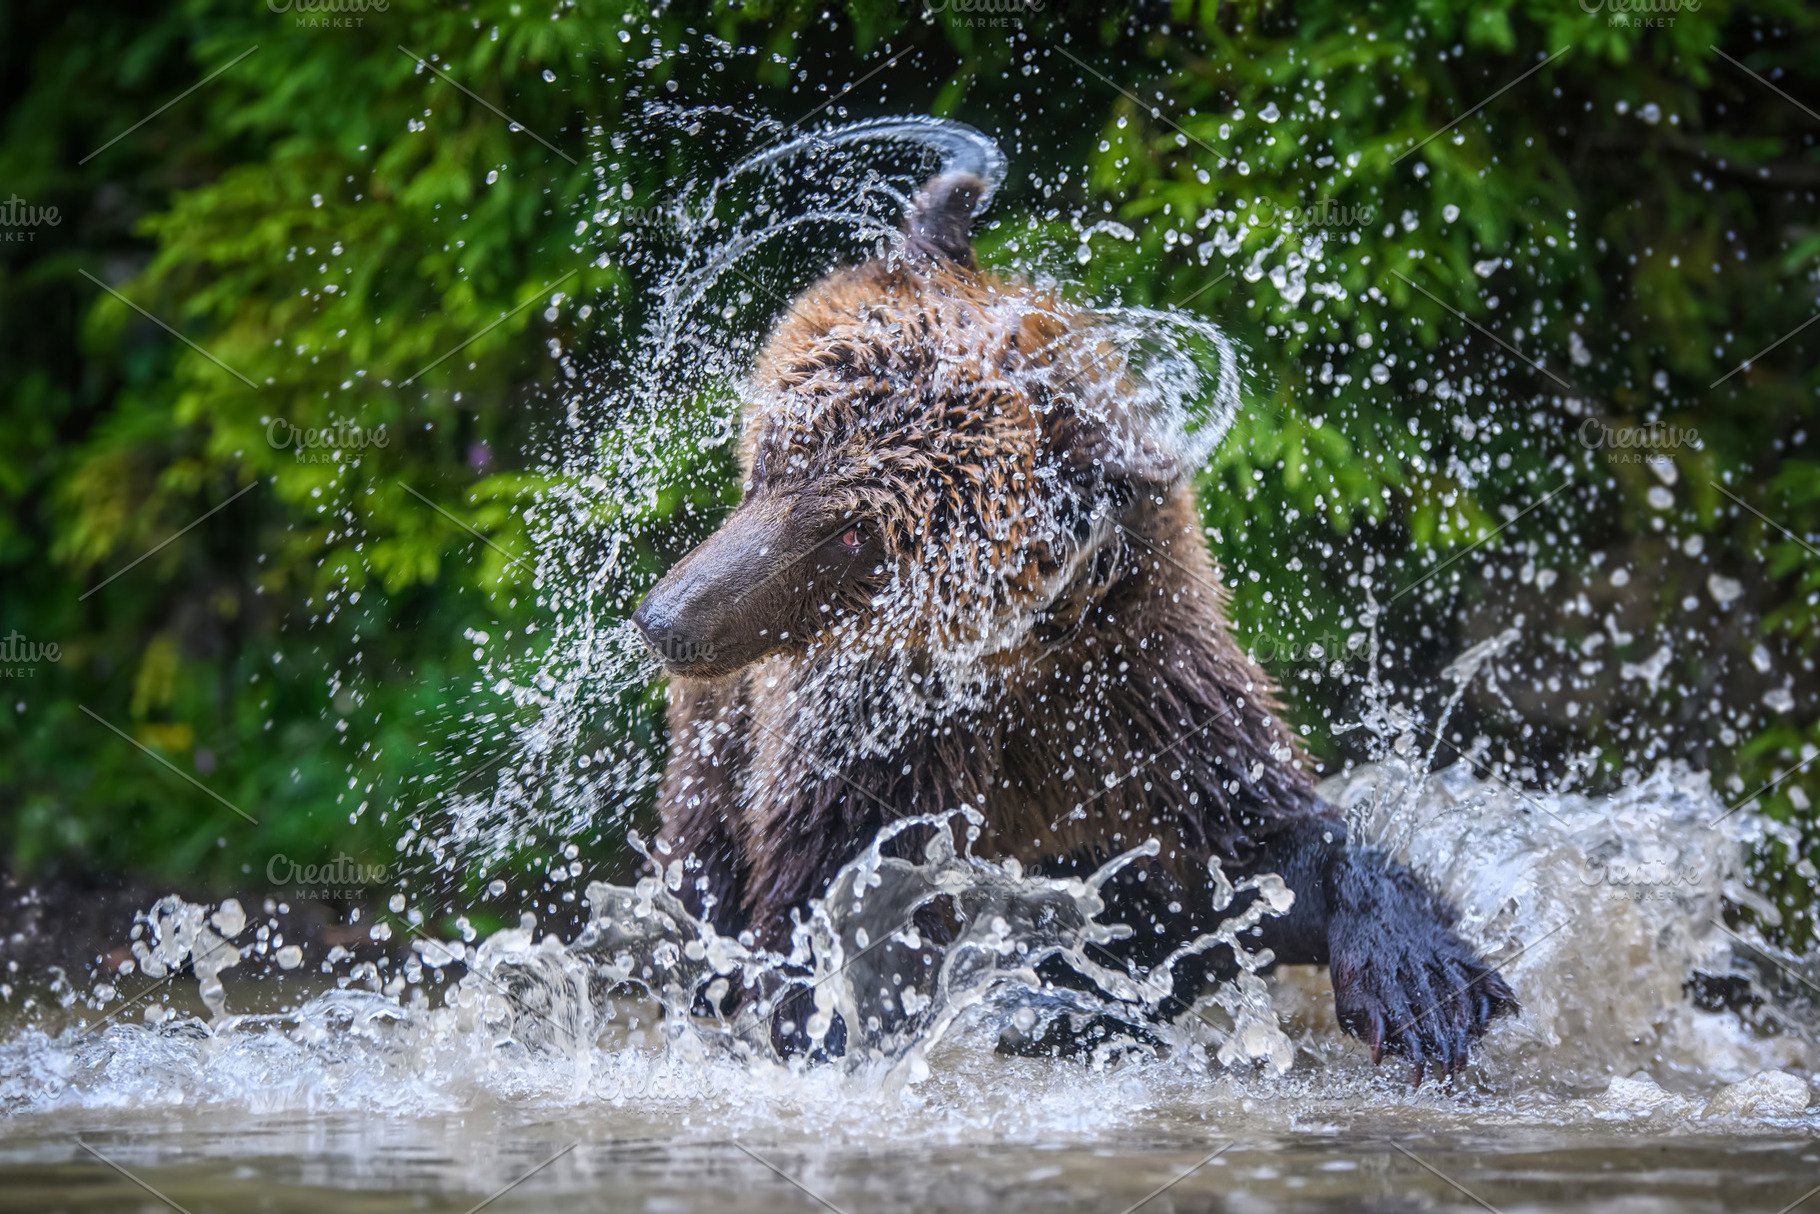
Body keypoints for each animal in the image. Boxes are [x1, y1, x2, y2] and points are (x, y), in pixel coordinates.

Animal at [632, 169, 1517, 1081]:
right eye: (779, 454)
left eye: (851, 534)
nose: (667, 618)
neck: (1019, 662)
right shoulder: (878, 742)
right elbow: (836, 905)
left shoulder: (1144, 706)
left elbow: (1257, 858)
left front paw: (1423, 981)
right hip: (719, 745)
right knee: (705, 868)